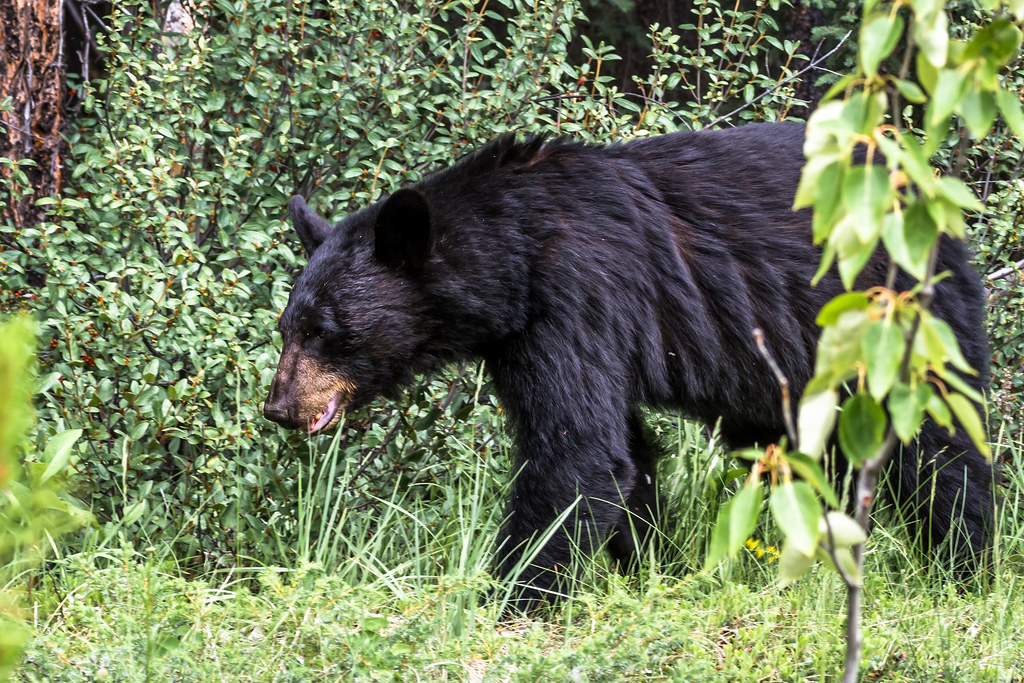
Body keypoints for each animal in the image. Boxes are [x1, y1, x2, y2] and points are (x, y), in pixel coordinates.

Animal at [263, 122, 994, 610]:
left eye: (324, 331)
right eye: (286, 327)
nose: (279, 406)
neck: (512, 253)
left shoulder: (578, 294)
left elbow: (575, 452)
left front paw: (508, 599)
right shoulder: (526, 338)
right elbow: (623, 453)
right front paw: (650, 567)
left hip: (894, 315)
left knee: (939, 446)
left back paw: (963, 569)